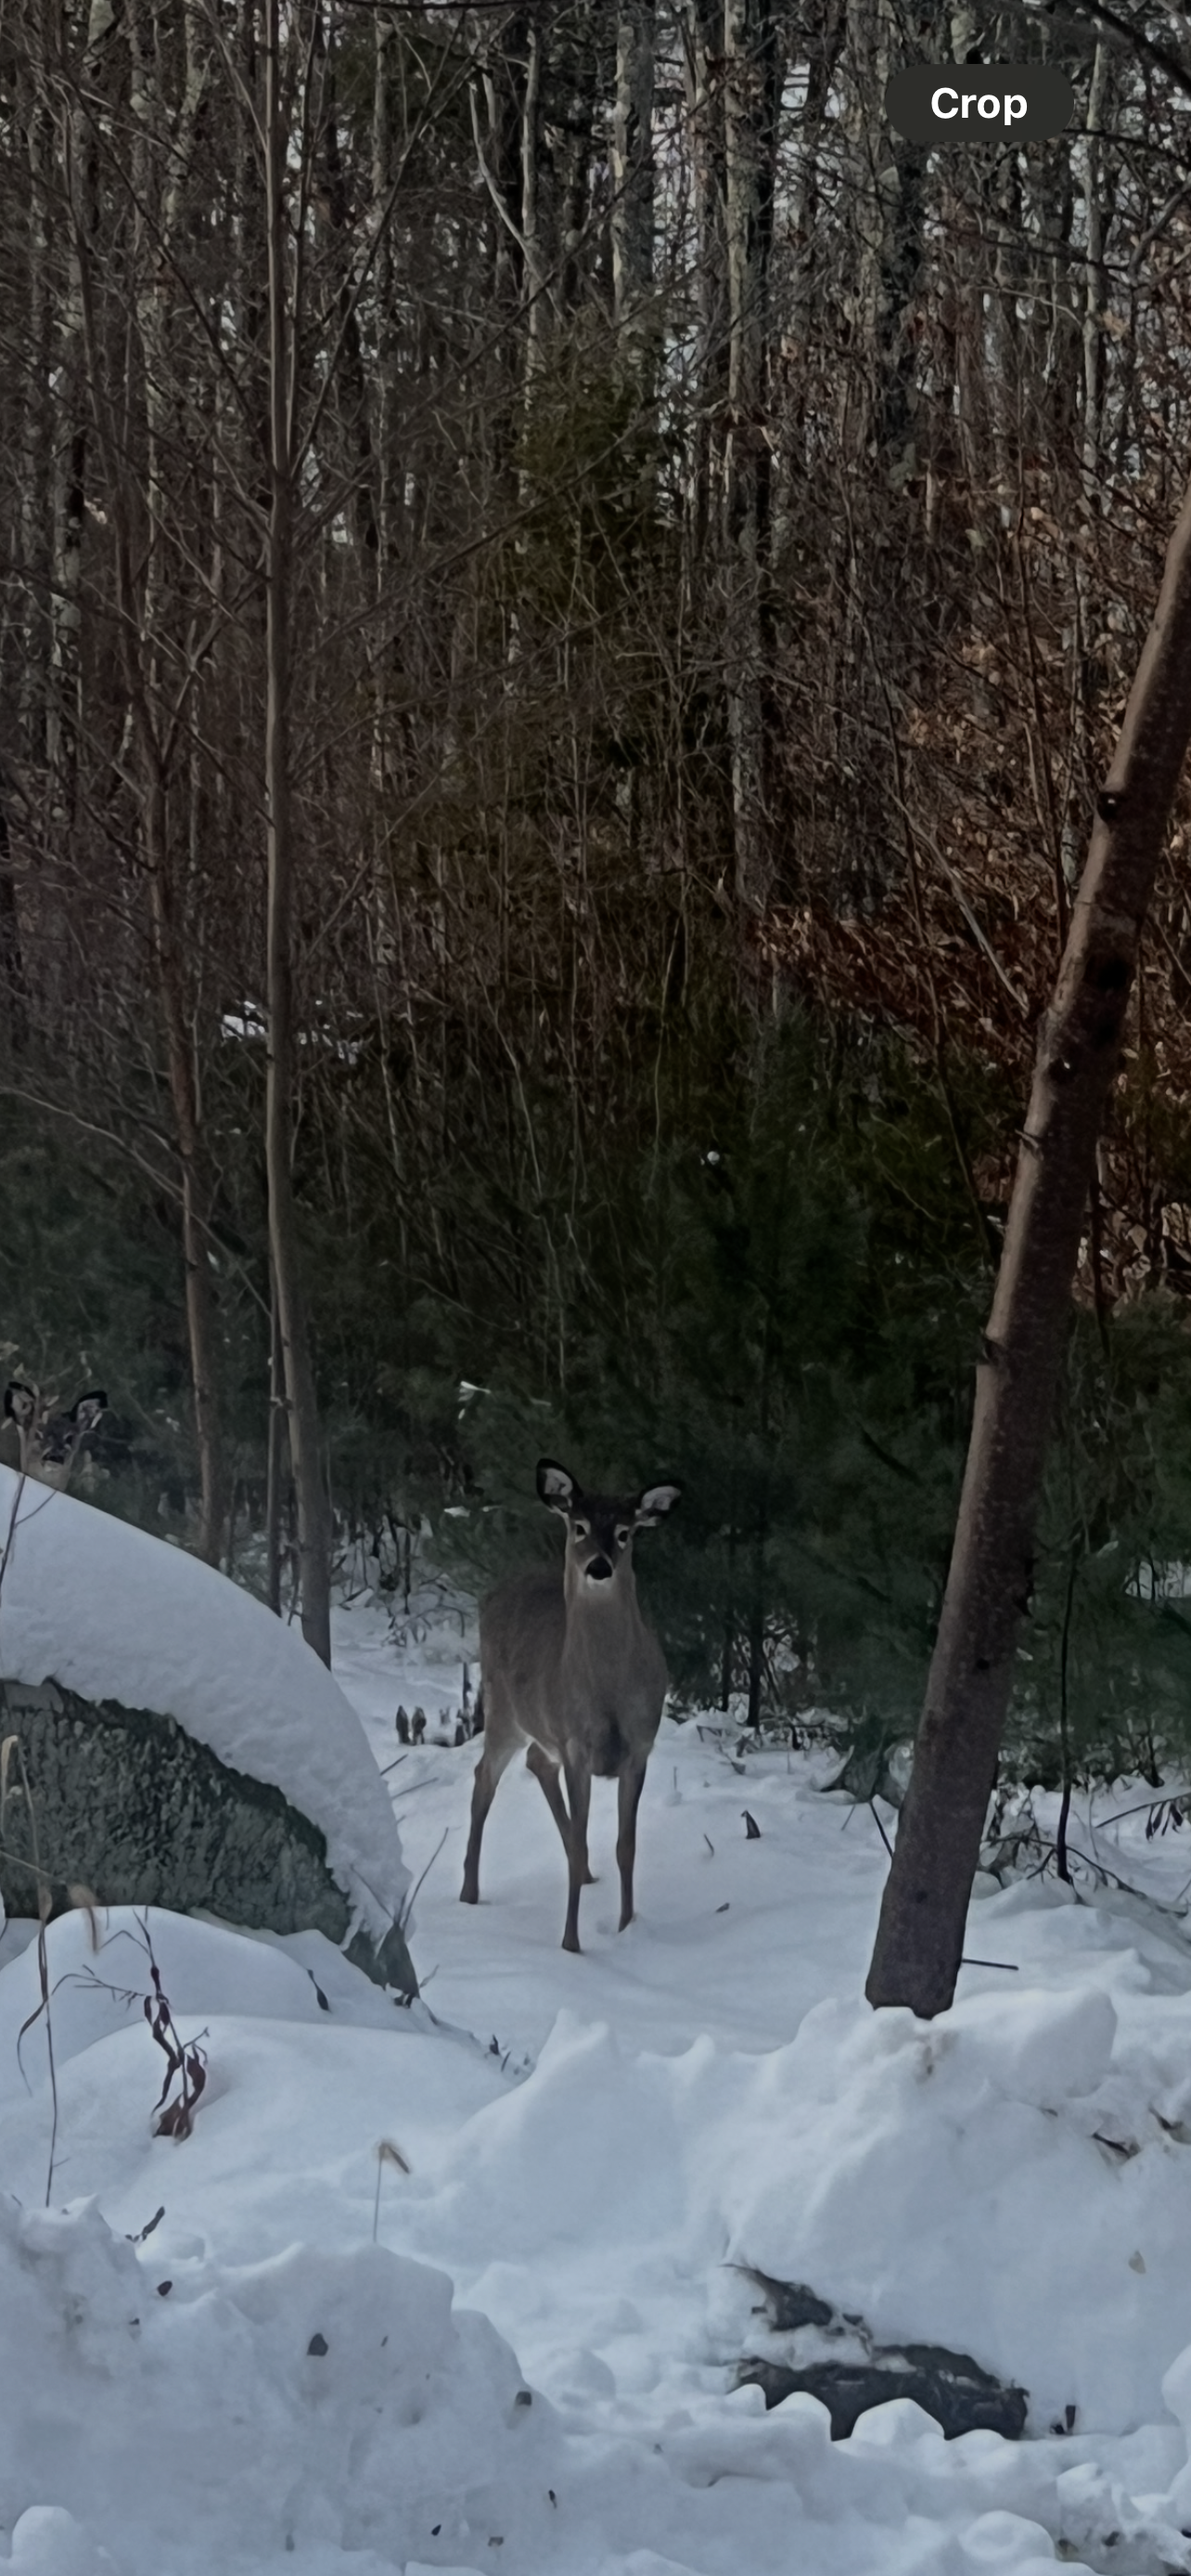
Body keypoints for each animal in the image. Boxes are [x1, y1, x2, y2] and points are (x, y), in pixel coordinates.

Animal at [460, 1459, 681, 1953]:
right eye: (579, 1527)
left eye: (624, 1532)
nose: (599, 1567)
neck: (608, 1691)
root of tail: (492, 1593)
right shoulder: (577, 1744)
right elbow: (582, 1840)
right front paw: (570, 1944)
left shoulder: (640, 1747)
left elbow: (625, 1846)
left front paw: (626, 1927)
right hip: (503, 1709)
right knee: (485, 1776)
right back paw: (468, 1892)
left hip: (540, 1729)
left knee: (536, 1761)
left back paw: (584, 1876)